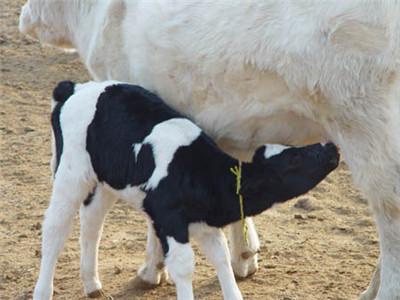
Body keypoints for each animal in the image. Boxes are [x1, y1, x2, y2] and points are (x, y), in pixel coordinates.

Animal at [34, 80, 340, 300]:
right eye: (294, 158)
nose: (331, 147)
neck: (204, 174)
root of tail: (75, 88)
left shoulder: (205, 224)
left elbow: (221, 259)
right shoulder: (170, 218)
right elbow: (184, 266)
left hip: (105, 180)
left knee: (91, 221)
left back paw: (92, 283)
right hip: (70, 173)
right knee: (55, 229)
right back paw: (44, 291)